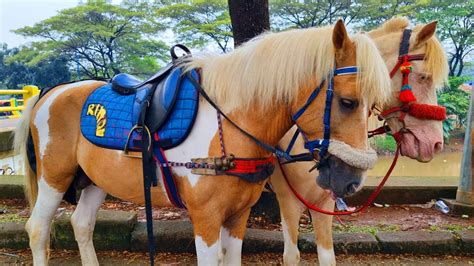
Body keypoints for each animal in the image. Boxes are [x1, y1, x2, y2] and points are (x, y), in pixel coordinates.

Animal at [15, 21, 392, 266]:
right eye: (347, 102)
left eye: (374, 106)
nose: (352, 181)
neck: (229, 121)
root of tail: (52, 91)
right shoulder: (206, 219)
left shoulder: (237, 217)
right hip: (54, 178)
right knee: (37, 229)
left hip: (94, 181)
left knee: (81, 225)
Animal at [270, 17, 448, 264]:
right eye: (424, 77)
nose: (435, 143)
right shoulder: (289, 201)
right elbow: (291, 256)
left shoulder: (324, 201)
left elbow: (327, 257)